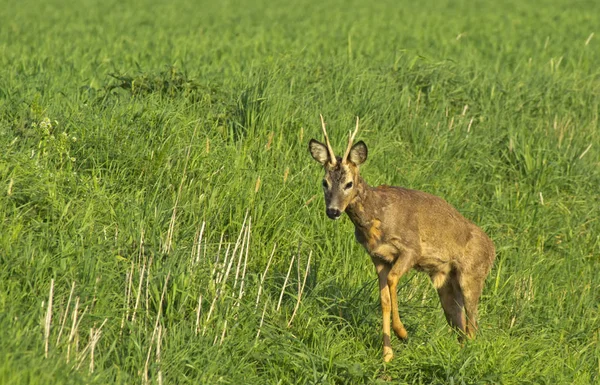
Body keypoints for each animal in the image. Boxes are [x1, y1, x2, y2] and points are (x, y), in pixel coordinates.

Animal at [308, 115, 494, 362]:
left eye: (349, 183)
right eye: (324, 182)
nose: (333, 211)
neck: (377, 216)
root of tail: (493, 248)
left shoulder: (411, 249)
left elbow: (393, 279)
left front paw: (402, 333)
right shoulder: (378, 257)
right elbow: (384, 299)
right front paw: (387, 354)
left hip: (472, 274)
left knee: (473, 323)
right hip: (446, 282)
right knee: (461, 324)